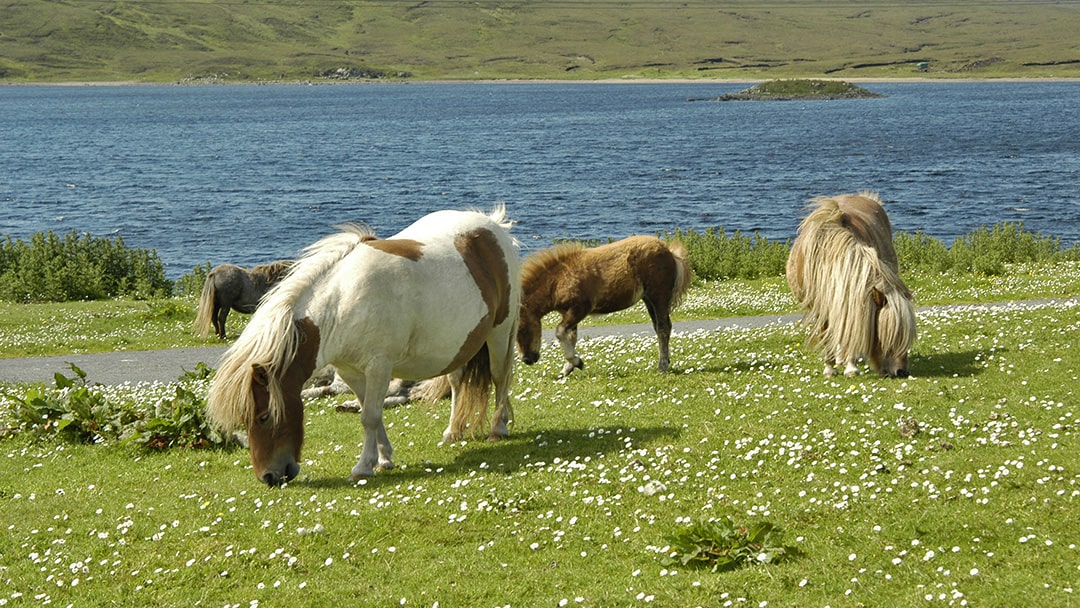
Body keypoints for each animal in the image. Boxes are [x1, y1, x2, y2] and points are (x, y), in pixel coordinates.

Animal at [206, 207, 522, 488]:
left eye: (264, 417)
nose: (269, 477)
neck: (341, 302)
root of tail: (494, 225)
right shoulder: (350, 371)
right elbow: (370, 413)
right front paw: (383, 459)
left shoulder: (379, 366)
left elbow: (369, 416)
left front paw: (362, 467)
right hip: (459, 344)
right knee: (457, 383)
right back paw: (453, 432)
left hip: (500, 331)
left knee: (500, 377)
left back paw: (498, 427)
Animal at [516, 236, 691, 375]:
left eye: (522, 329)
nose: (527, 359)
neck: (558, 281)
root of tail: (670, 252)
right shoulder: (568, 312)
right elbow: (570, 336)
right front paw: (568, 368)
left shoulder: (580, 308)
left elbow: (559, 332)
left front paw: (577, 362)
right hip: (648, 299)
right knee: (660, 326)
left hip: (658, 295)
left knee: (663, 328)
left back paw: (662, 366)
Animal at [790, 192, 915, 377]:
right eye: (885, 336)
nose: (901, 371)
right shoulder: (820, 307)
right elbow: (827, 333)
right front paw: (829, 368)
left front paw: (850, 367)